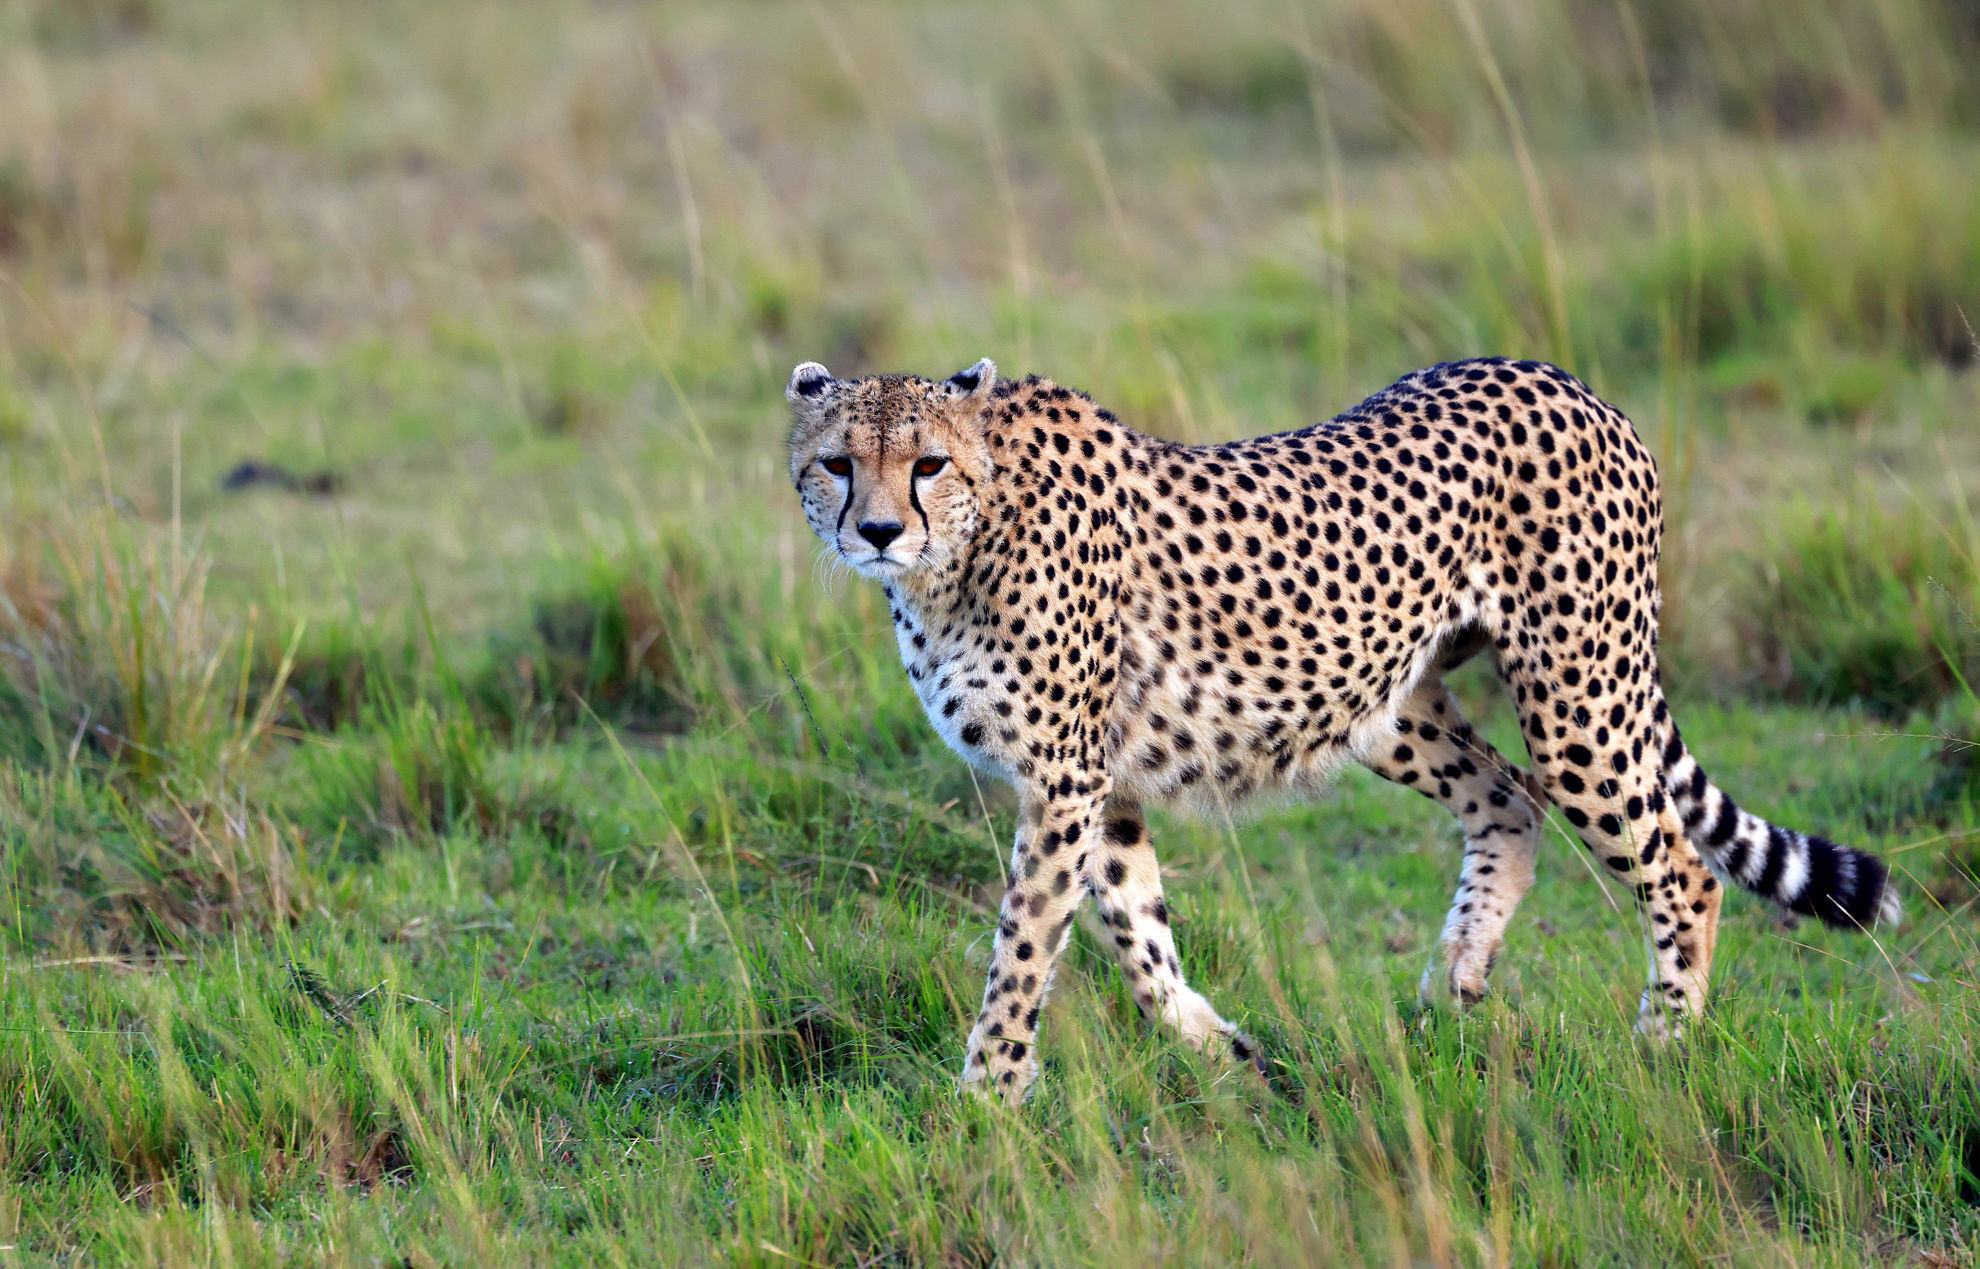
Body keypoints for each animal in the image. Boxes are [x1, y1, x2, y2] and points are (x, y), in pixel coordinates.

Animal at [785, 354, 1900, 1102]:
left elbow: (1024, 948)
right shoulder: (1101, 784)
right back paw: (1452, 983)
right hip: (1385, 700)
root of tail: (1565, 380)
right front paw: (1221, 1048)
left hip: (1578, 693)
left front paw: (986, 1103)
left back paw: (1664, 1043)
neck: (959, 553)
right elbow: (1138, 938)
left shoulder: (1063, 778)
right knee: (1509, 799)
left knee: (1681, 868)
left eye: (928, 464)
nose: (875, 530)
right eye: (837, 463)